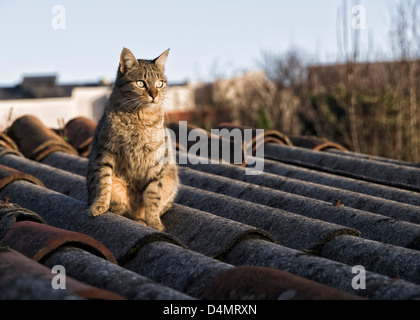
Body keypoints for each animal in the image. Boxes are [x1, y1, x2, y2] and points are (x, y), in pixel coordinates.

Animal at [88, 47, 180, 230]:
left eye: (159, 83)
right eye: (140, 83)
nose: (154, 95)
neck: (140, 115)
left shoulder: (155, 161)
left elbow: (153, 196)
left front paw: (155, 223)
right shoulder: (105, 151)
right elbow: (103, 182)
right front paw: (99, 205)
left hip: (171, 179)